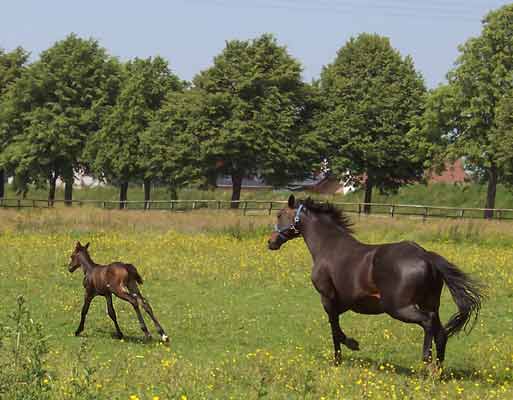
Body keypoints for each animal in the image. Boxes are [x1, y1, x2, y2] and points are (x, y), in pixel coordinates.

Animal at [266, 196, 482, 366]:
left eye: (279, 214)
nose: (271, 242)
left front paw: (345, 352)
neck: (328, 247)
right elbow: (335, 326)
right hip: (429, 304)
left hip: (398, 308)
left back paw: (426, 362)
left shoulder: (327, 298)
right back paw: (437, 370)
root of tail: (426, 256)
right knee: (441, 333)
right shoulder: (344, 302)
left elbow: (335, 329)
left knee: (428, 323)